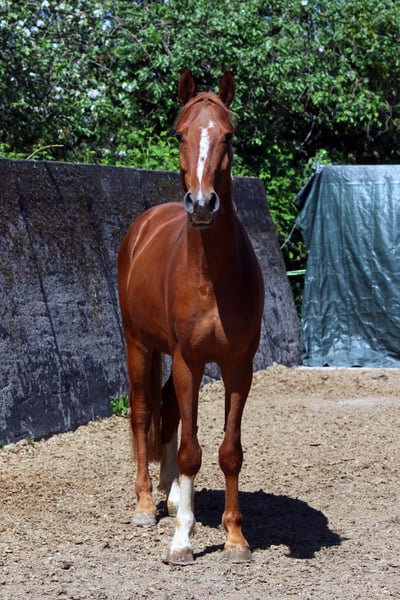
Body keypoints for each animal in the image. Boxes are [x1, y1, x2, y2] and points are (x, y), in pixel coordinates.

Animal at [118, 70, 264, 565]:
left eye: (229, 135)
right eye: (180, 134)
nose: (201, 204)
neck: (212, 278)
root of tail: (142, 228)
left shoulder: (238, 367)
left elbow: (229, 451)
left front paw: (235, 538)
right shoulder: (188, 361)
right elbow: (189, 451)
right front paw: (182, 539)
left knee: (165, 409)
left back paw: (172, 494)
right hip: (139, 345)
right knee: (143, 412)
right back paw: (146, 504)